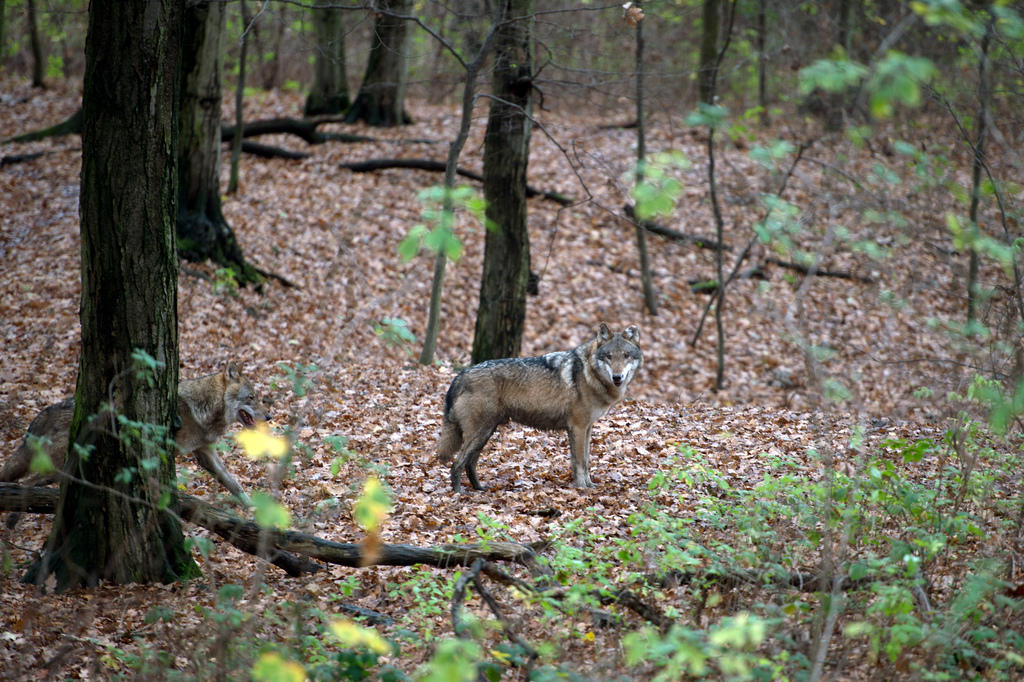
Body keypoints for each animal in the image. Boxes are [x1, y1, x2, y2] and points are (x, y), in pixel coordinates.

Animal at [1, 364, 264, 507]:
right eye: (251, 398)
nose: (269, 416)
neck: (204, 408)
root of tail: (42, 415)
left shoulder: (206, 454)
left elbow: (234, 484)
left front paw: (252, 510)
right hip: (57, 468)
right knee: (26, 484)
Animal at [438, 323, 643, 489]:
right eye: (609, 356)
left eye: (626, 355)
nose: (617, 377)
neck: (589, 373)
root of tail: (460, 375)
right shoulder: (578, 427)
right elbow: (580, 462)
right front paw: (582, 488)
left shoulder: (586, 428)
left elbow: (584, 460)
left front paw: (589, 485)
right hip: (480, 432)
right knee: (457, 463)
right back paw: (459, 493)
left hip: (486, 432)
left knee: (470, 463)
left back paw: (479, 489)